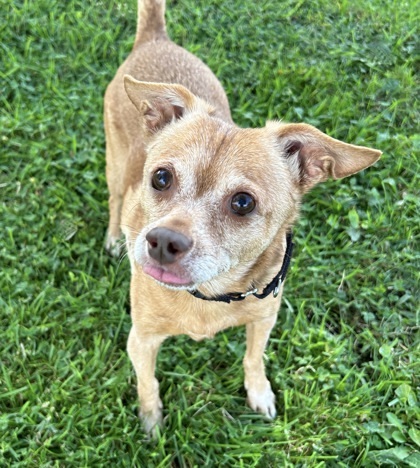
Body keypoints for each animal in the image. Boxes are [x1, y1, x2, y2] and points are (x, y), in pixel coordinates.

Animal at [103, 0, 382, 436]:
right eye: (161, 178)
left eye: (243, 203)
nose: (163, 241)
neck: (208, 295)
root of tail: (155, 37)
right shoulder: (141, 341)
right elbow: (148, 382)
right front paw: (151, 420)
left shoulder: (265, 318)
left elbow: (254, 358)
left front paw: (259, 393)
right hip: (114, 167)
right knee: (115, 202)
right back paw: (115, 238)